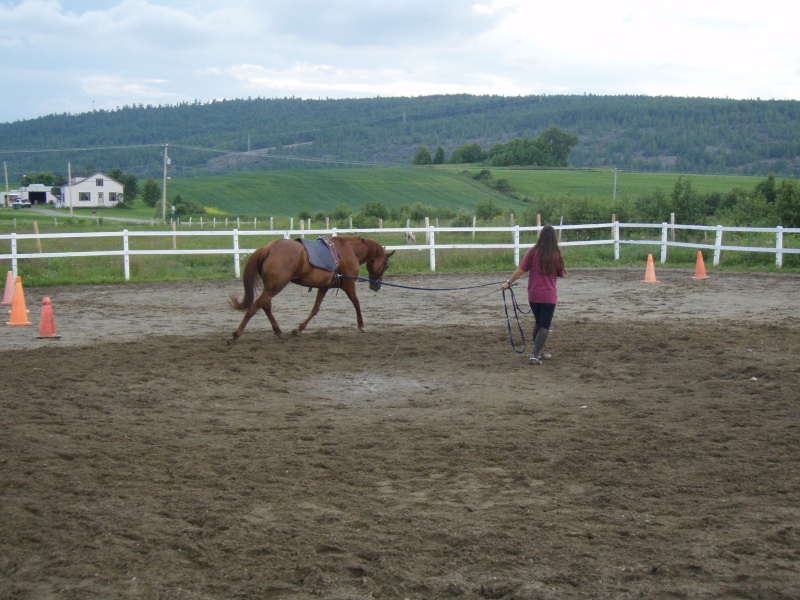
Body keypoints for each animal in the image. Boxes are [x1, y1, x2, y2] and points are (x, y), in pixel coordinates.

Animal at [228, 237, 394, 344]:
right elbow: (356, 303)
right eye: (386, 265)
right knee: (255, 306)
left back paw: (278, 331)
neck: (348, 250)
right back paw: (236, 334)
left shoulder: (324, 287)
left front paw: (299, 329)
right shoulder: (348, 284)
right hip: (276, 286)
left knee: (265, 305)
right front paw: (361, 325)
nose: (376, 286)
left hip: (271, 287)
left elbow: (315, 309)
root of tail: (268, 249)